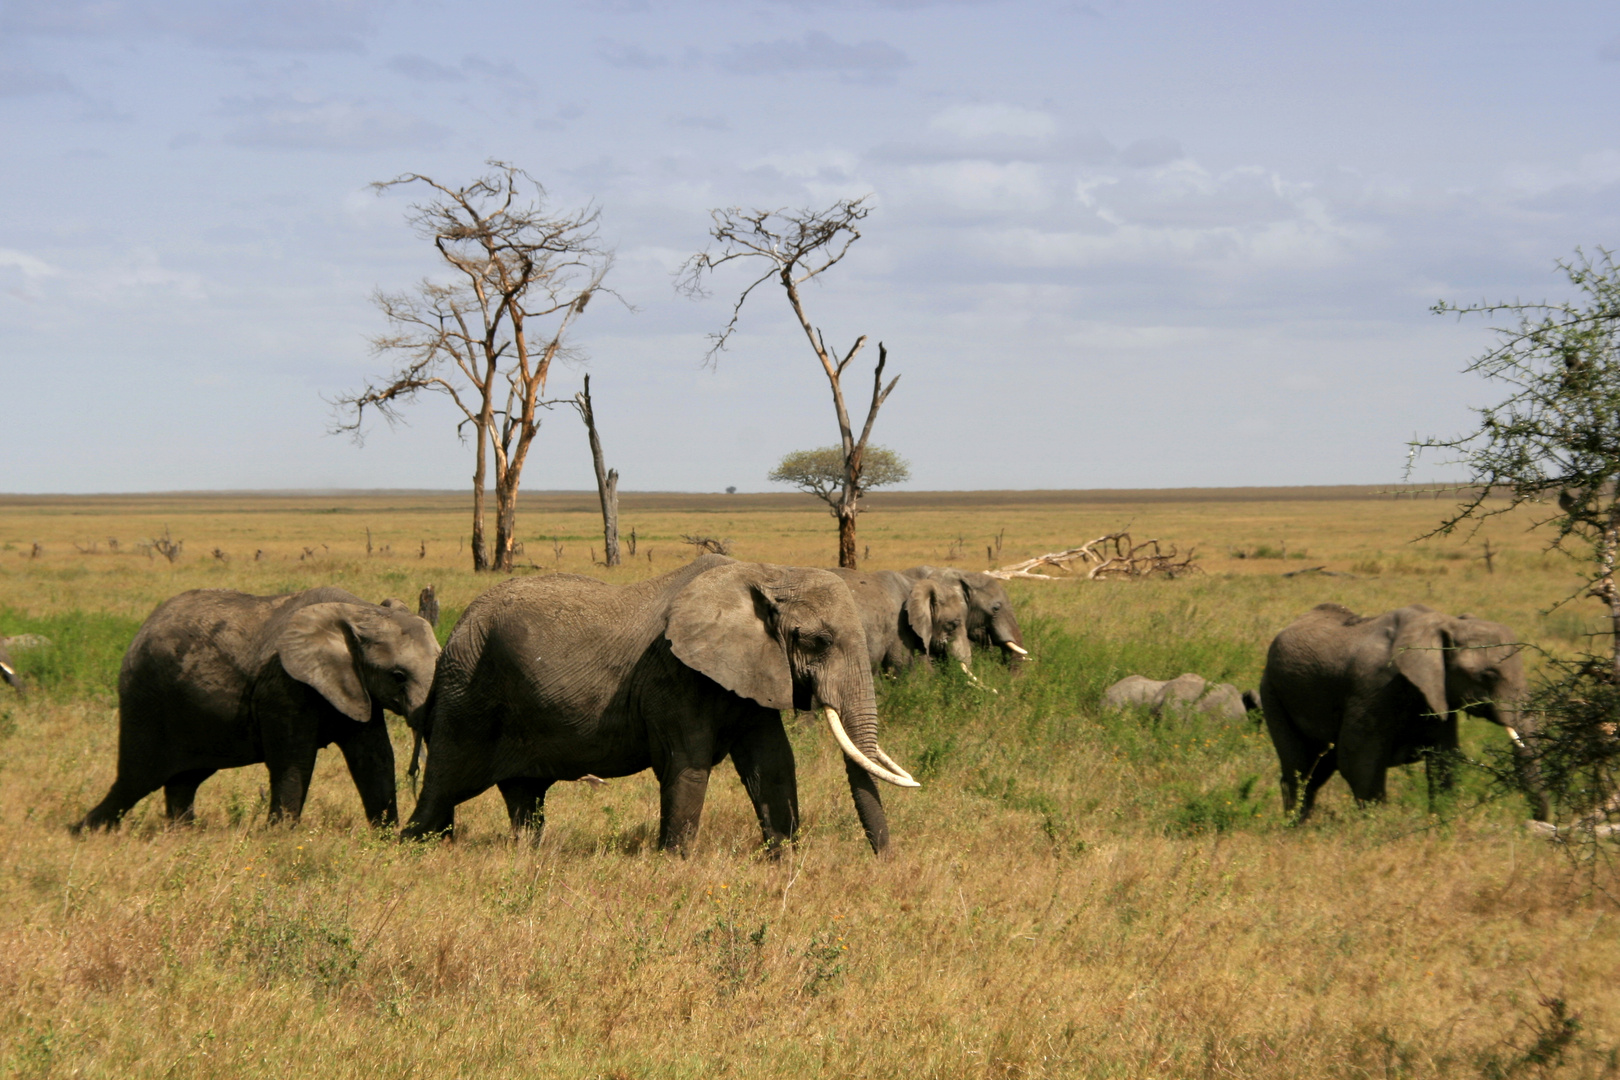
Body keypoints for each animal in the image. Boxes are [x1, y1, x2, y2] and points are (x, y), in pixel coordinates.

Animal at [73, 586, 440, 835]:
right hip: (146, 698)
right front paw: (281, 837)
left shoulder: (354, 685)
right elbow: (294, 760)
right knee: (136, 778)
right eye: (398, 675)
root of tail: (141, 631)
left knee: (183, 780)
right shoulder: (283, 683)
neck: (359, 610)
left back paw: (183, 834)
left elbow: (374, 756)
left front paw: (385, 838)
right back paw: (83, 832)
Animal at [398, 557, 920, 854]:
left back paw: (525, 855)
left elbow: (772, 761)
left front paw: (786, 860)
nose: (884, 862)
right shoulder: (675, 674)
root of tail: (455, 629)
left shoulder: (752, 669)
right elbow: (687, 764)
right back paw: (415, 848)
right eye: (817, 641)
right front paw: (675, 864)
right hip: (467, 691)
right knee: (445, 783)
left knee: (523, 794)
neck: (769, 574)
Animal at [1250, 605, 1542, 822]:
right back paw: (1295, 827)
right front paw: (1377, 830)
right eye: (1488, 676)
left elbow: (1444, 758)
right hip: (1272, 691)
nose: (1535, 824)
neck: (1443, 624)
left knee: (1317, 770)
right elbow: (1358, 760)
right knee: (1299, 768)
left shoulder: (1436, 692)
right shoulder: (1373, 687)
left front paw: (1439, 824)